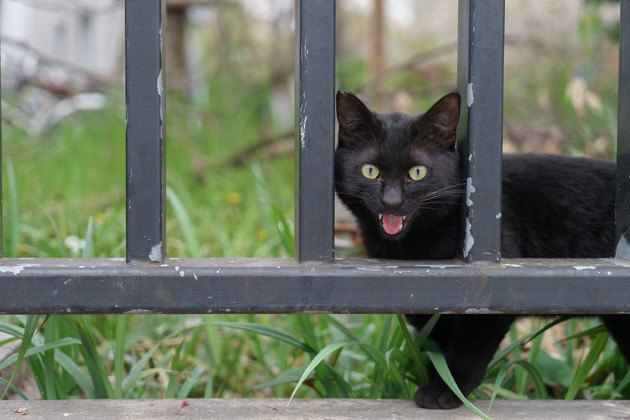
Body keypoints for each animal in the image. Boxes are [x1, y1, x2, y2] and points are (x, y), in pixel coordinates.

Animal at [336, 90, 630, 408]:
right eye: (370, 170)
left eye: (417, 172)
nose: (391, 201)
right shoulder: (426, 307)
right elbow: (436, 345)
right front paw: (437, 377)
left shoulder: (492, 293)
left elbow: (469, 347)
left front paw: (448, 388)